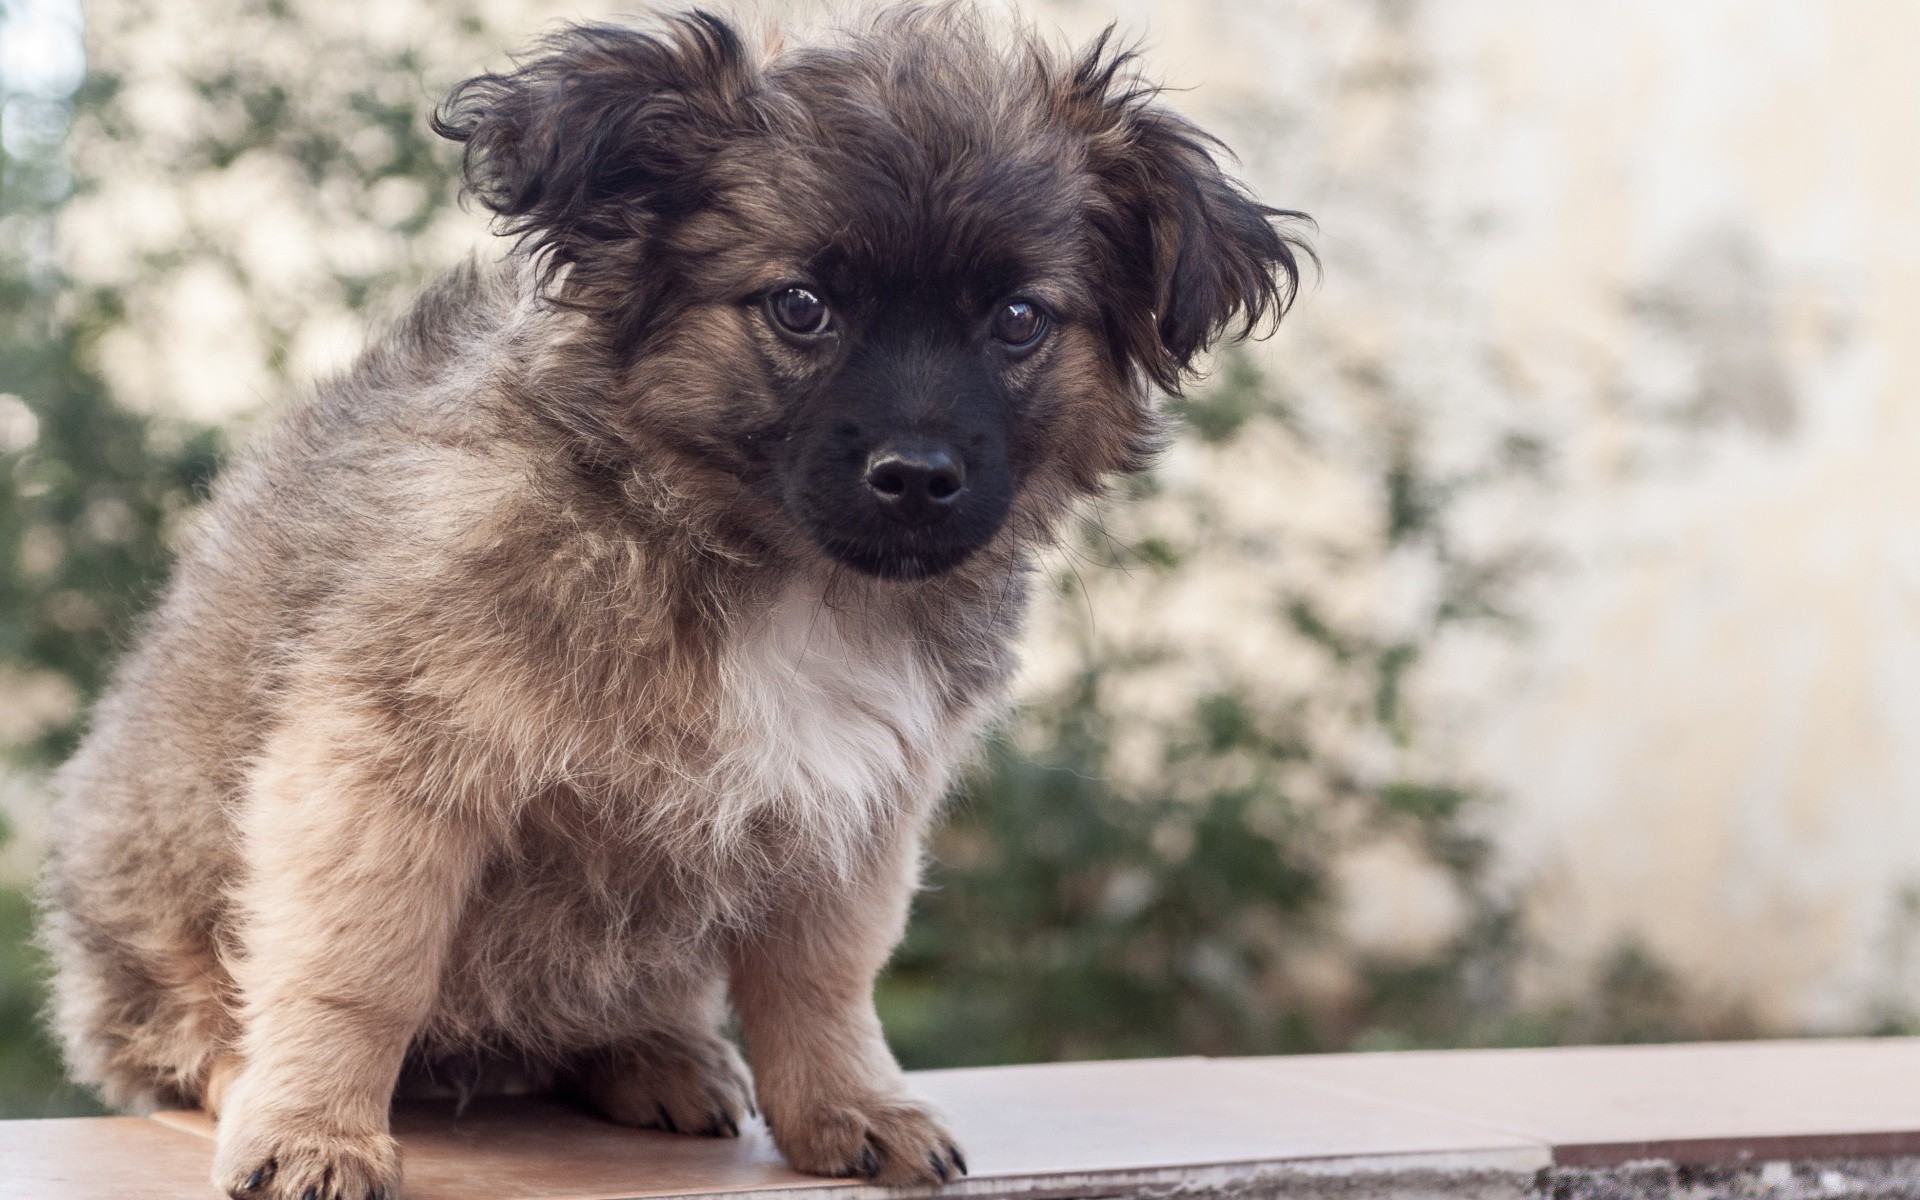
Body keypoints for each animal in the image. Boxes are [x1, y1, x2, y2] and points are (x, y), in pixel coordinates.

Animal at [41, 9, 1305, 1198]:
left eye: (1019, 319)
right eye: (800, 306)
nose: (916, 476)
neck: (763, 565)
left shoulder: (852, 808)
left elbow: (823, 981)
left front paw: (849, 1106)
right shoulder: (387, 767)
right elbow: (356, 971)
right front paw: (312, 1127)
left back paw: (655, 1056)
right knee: (171, 1029)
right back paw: (232, 1065)